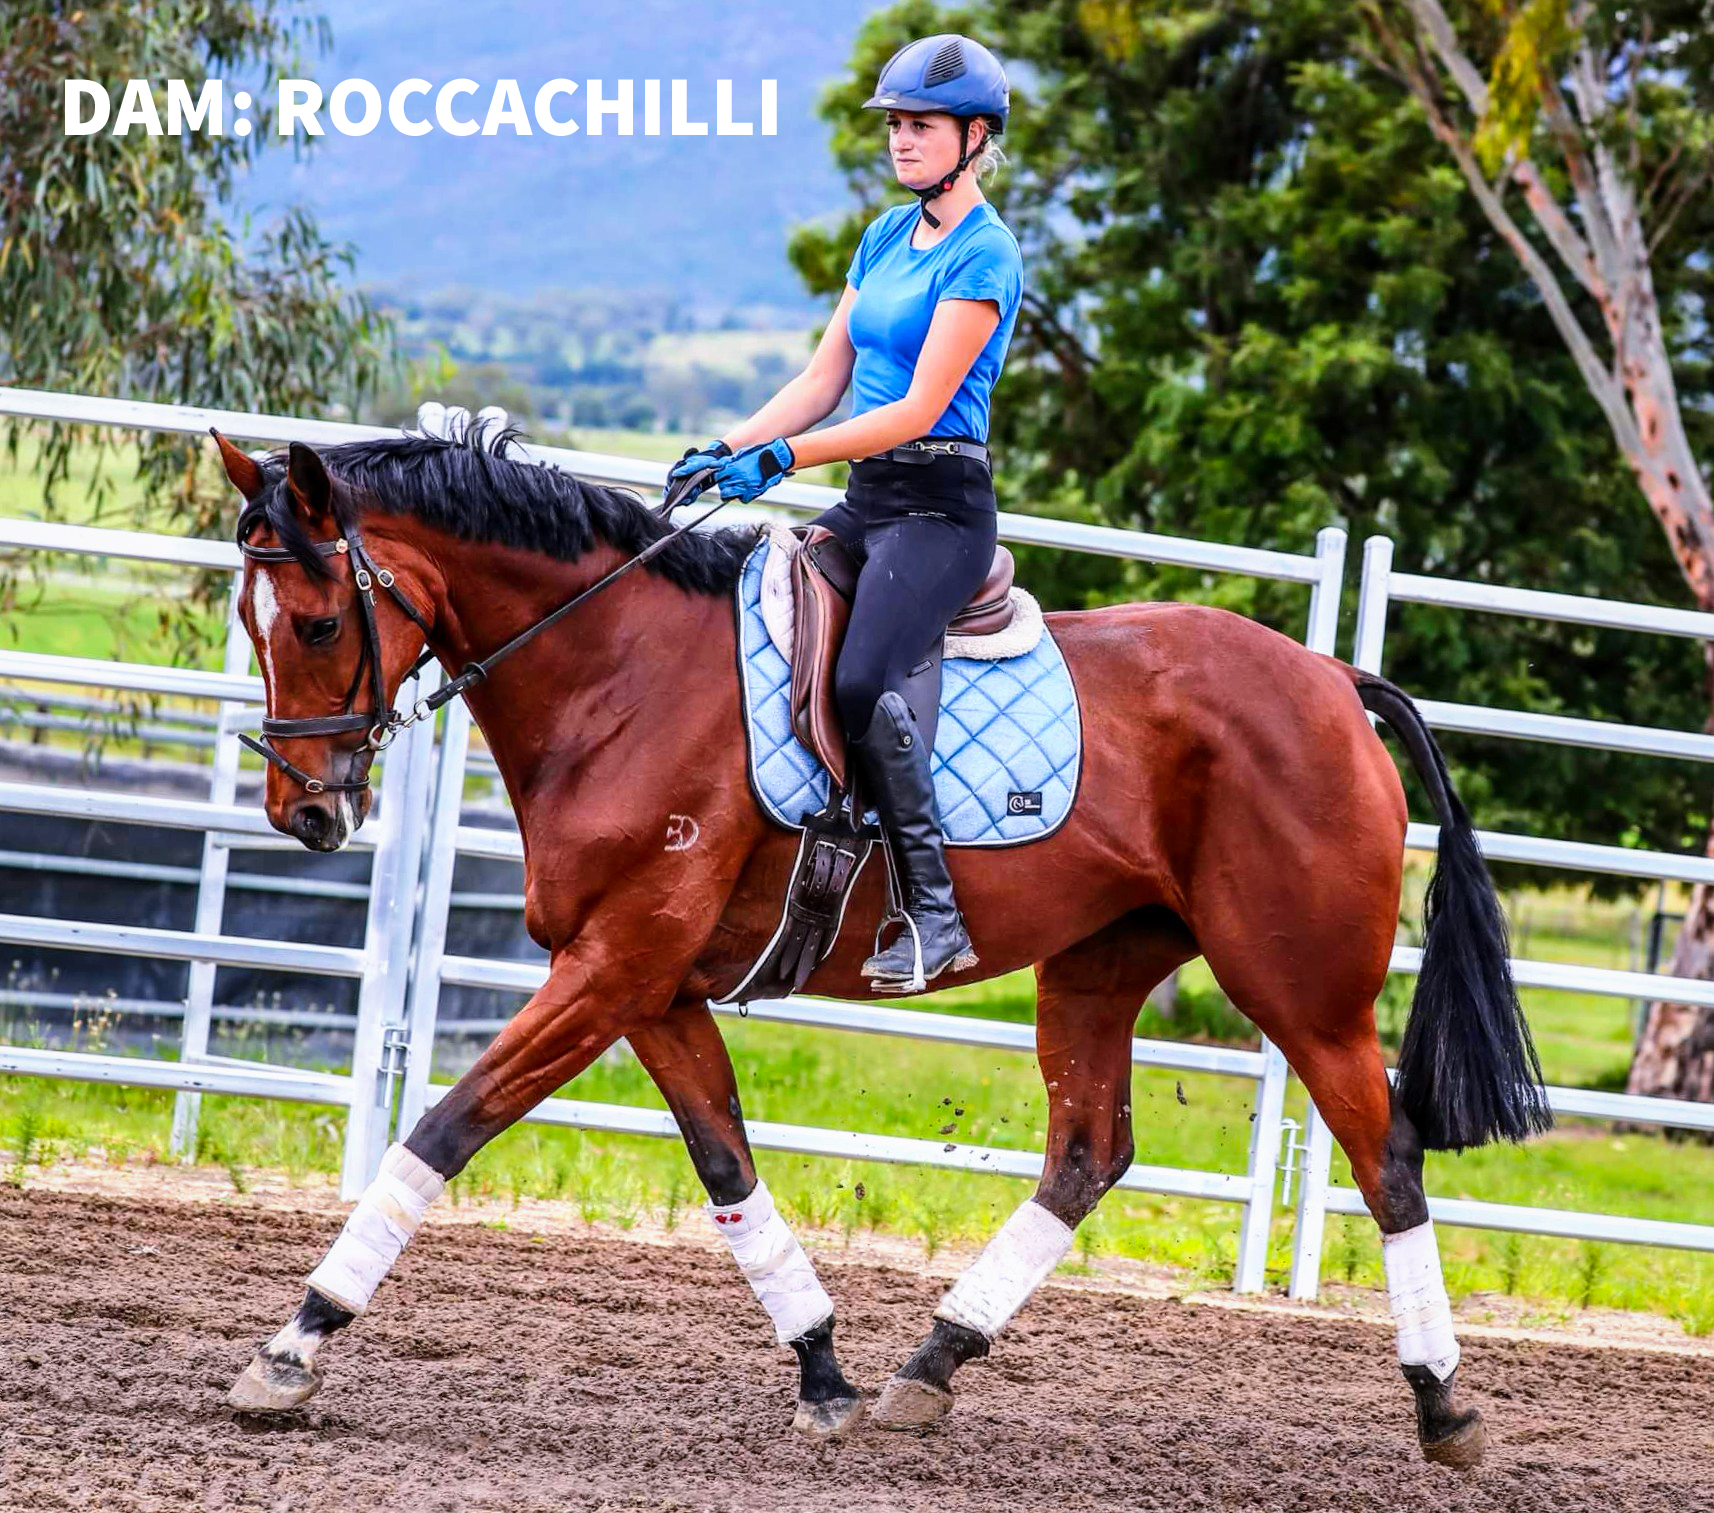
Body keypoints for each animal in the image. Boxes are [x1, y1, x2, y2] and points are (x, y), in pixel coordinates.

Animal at [211, 423, 1548, 1466]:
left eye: (318, 623)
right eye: (248, 616)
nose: (305, 812)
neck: (619, 676)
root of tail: (1330, 676)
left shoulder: (614, 965)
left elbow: (445, 1131)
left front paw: (293, 1345)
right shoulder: (651, 986)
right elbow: (726, 1166)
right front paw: (824, 1372)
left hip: (1300, 987)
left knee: (1388, 1159)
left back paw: (1444, 1408)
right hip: (1099, 963)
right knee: (1087, 1153)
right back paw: (931, 1362)